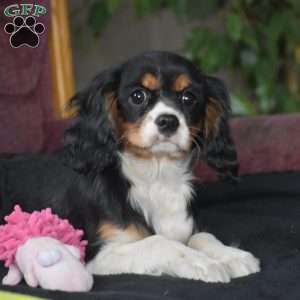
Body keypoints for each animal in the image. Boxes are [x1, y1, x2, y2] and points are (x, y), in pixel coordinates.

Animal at [0, 50, 258, 282]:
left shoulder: (184, 229)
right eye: (137, 96)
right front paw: (202, 262)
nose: (168, 121)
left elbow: (202, 236)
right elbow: (160, 242)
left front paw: (232, 255)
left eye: (188, 98)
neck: (156, 176)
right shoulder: (99, 254)